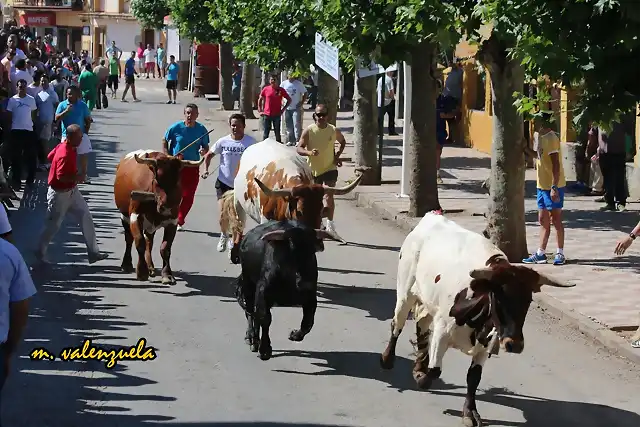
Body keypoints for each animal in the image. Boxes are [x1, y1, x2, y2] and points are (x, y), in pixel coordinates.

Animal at [114, 150, 204, 284]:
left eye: (177, 180)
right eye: (158, 179)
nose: (167, 207)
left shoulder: (172, 221)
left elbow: (165, 248)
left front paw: (167, 274)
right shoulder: (135, 216)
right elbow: (139, 242)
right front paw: (142, 272)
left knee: (149, 241)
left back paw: (150, 267)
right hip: (124, 216)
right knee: (129, 239)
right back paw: (127, 264)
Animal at [235, 221, 342, 362]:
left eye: (312, 251)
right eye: (291, 247)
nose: (304, 282)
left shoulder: (310, 298)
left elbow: (308, 322)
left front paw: (295, 335)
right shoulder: (262, 293)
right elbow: (265, 319)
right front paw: (265, 350)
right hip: (248, 285)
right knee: (250, 312)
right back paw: (251, 338)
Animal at [380, 212, 576, 426]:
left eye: (528, 300)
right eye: (498, 296)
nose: (514, 344)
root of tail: (431, 217)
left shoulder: (486, 343)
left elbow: (473, 377)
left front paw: (469, 412)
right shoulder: (442, 331)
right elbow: (435, 371)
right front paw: (422, 379)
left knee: (421, 326)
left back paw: (418, 366)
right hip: (405, 293)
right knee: (397, 324)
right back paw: (388, 359)